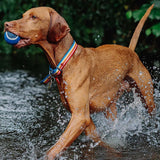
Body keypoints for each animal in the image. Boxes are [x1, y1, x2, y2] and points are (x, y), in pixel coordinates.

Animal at [4, 4, 155, 159]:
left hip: (148, 100)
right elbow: (99, 140)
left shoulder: (80, 117)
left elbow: (54, 149)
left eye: (34, 17)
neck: (66, 62)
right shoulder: (85, 121)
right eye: (23, 15)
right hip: (110, 107)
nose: (6, 24)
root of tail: (131, 52)